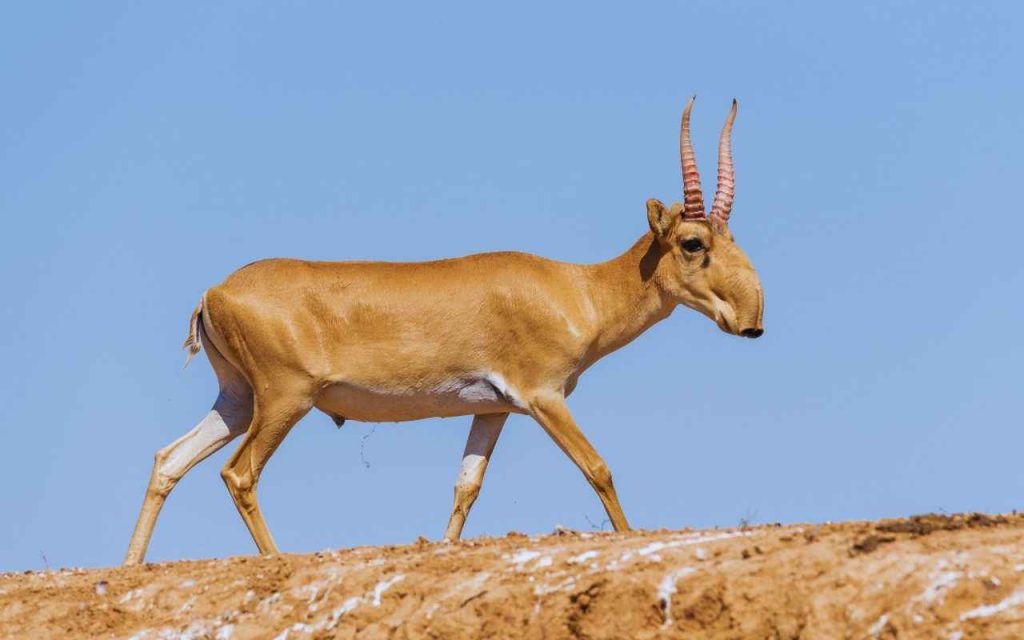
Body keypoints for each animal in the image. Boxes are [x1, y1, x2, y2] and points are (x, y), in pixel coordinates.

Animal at [124, 97, 764, 565]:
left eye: (731, 239)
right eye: (693, 243)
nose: (752, 321)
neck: (577, 289)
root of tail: (213, 293)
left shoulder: (493, 410)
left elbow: (465, 488)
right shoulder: (544, 398)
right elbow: (598, 467)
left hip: (236, 401)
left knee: (169, 460)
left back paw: (130, 565)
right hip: (284, 401)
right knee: (238, 473)